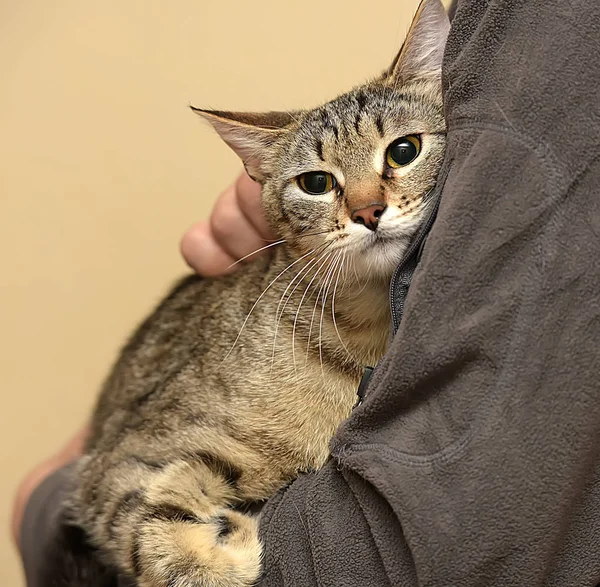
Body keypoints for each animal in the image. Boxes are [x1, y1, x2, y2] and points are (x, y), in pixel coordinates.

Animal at [61, 2, 450, 584]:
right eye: (316, 183)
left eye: (404, 150)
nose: (367, 211)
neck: (367, 328)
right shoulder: (118, 460)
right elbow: (145, 519)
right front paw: (213, 554)